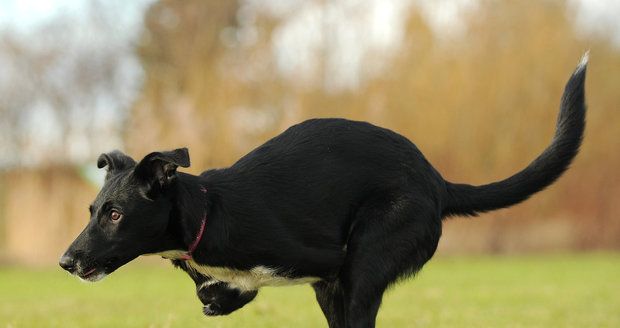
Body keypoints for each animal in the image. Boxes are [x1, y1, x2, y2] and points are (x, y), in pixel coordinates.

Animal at [58, 55, 588, 326]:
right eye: (91, 210)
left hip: (365, 263)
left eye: (115, 215)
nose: (65, 262)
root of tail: (436, 180)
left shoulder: (330, 269)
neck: (206, 215)